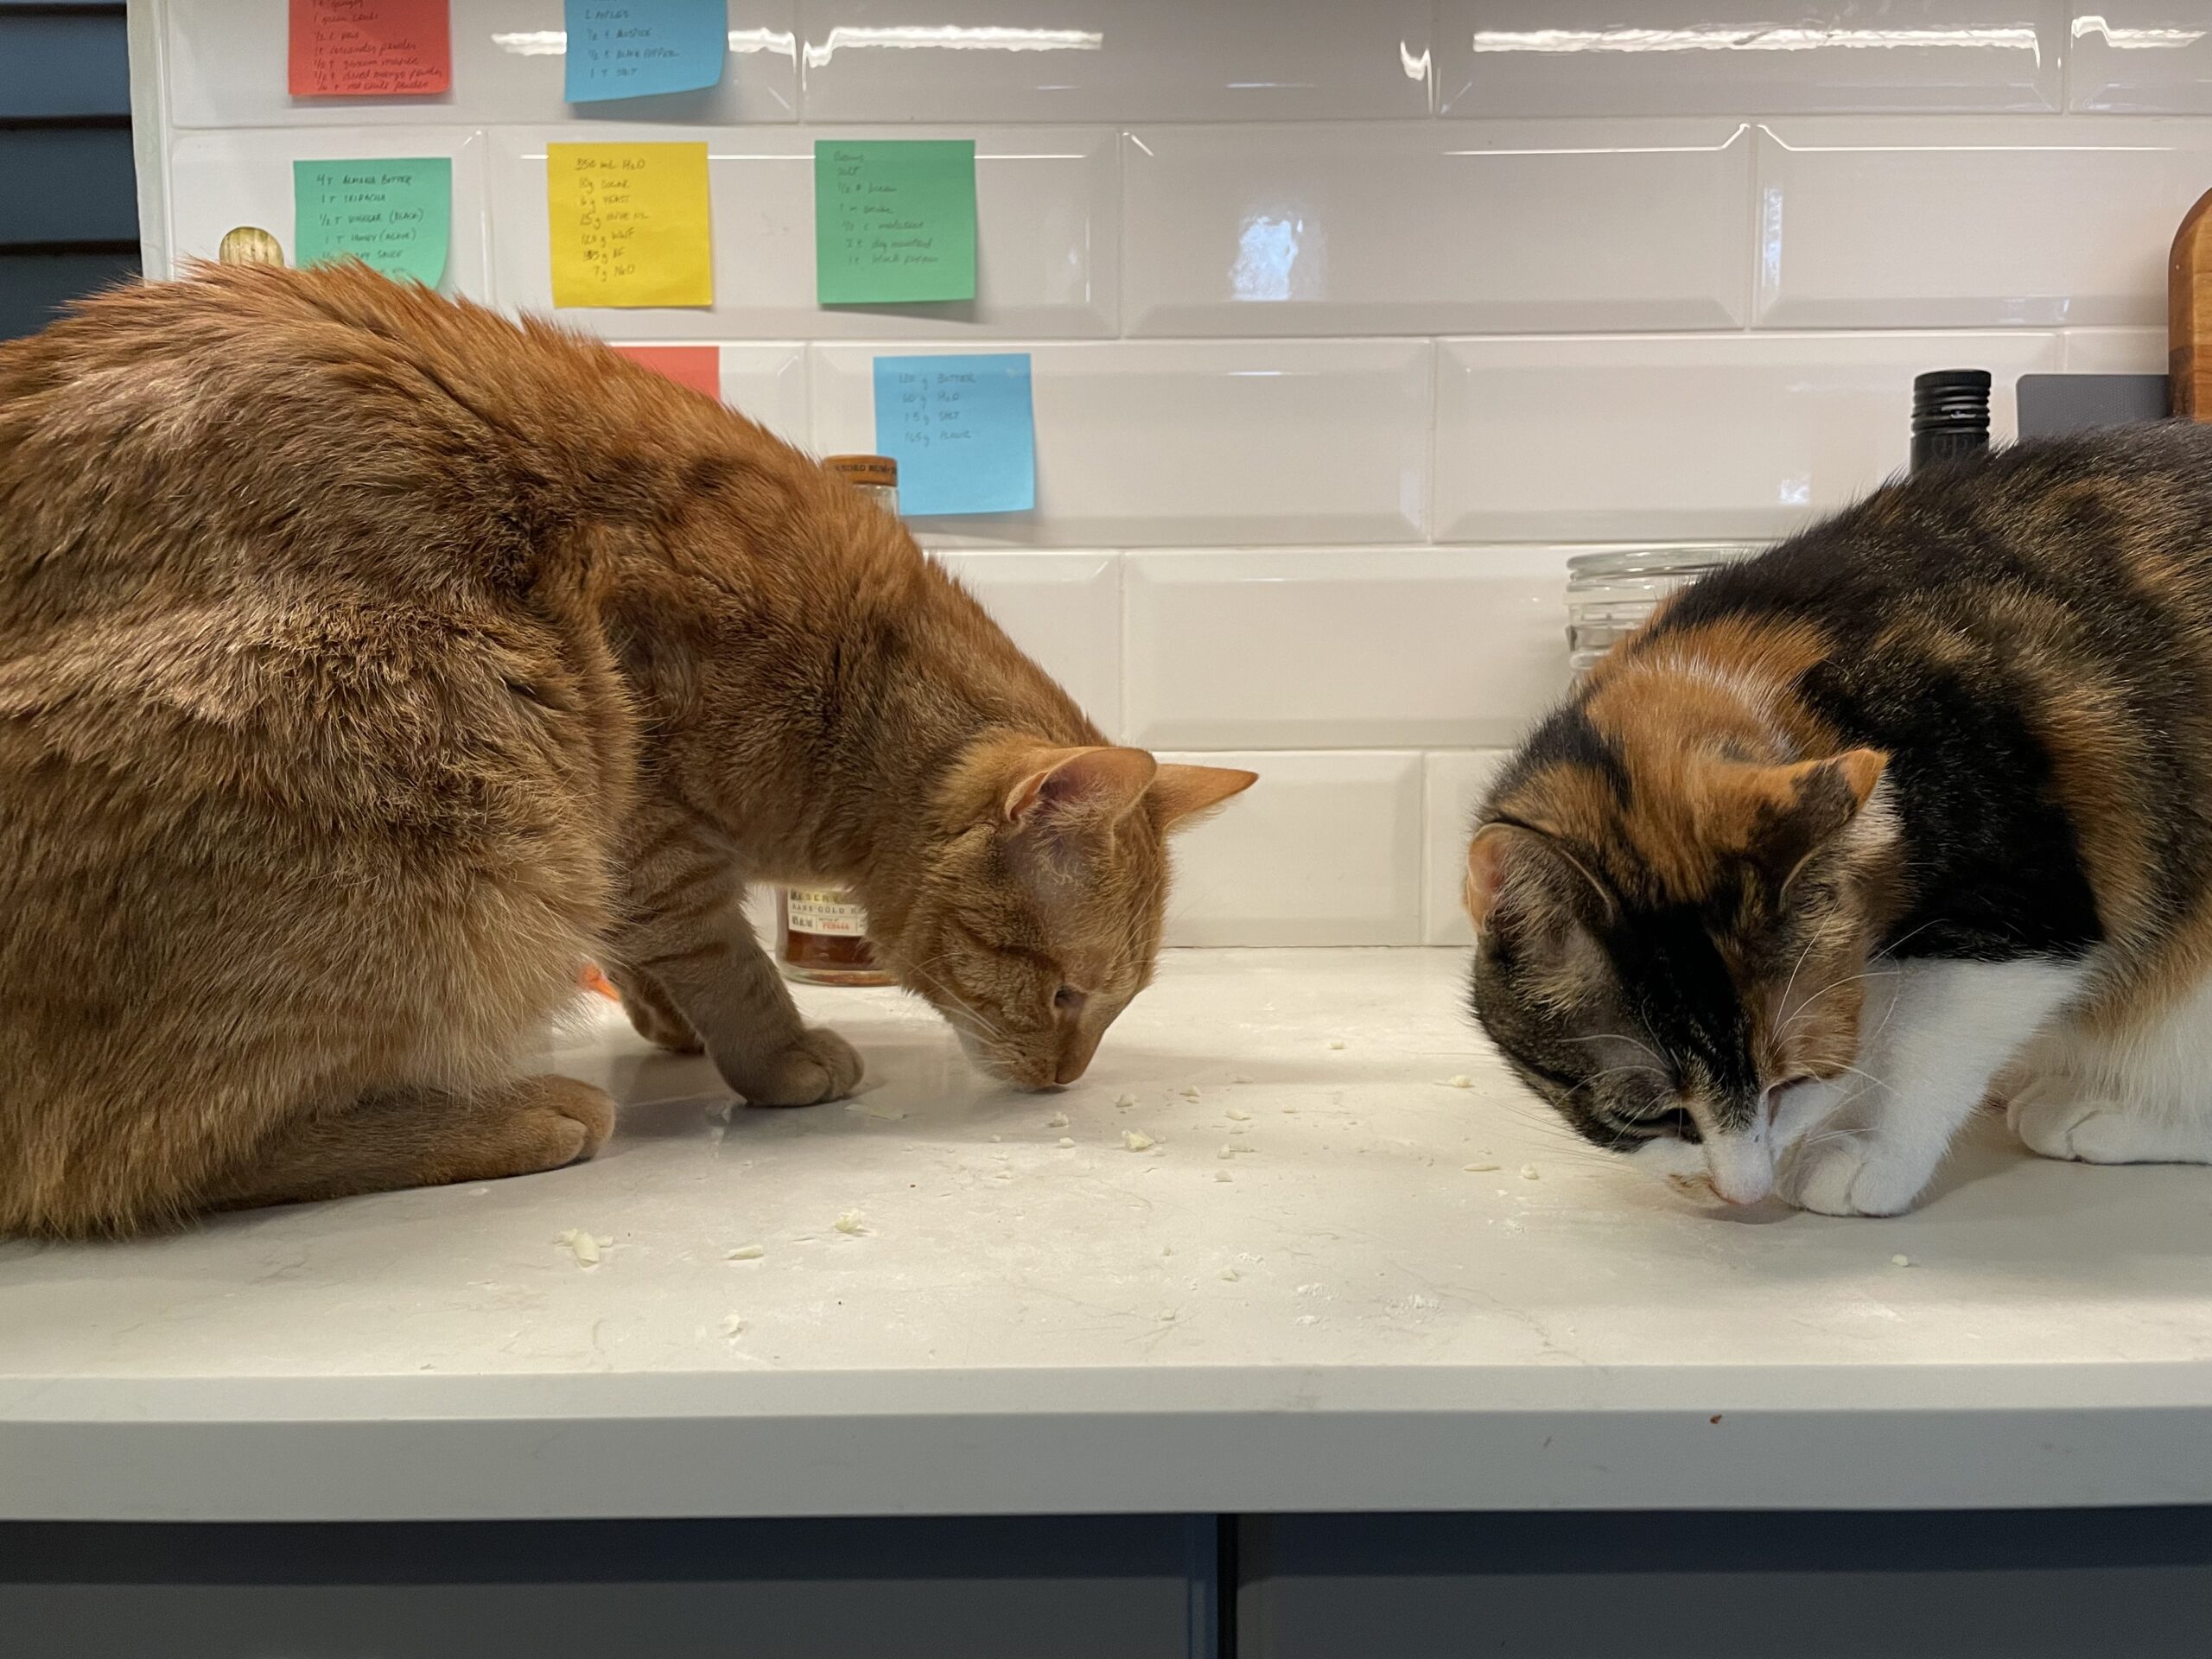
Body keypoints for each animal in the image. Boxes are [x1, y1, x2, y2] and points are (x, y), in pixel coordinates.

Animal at [0, 266, 1256, 1238]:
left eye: (1112, 1006)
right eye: (1066, 993)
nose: (1063, 1084)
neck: (854, 684)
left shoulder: (632, 850)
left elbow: (655, 948)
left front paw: (667, 1025)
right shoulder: (645, 808)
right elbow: (727, 957)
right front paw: (777, 1055)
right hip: (490, 791)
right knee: (129, 1163)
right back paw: (514, 1115)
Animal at [1468, 422, 2212, 1211]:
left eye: (1788, 1082)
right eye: (1650, 1117)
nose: (1743, 1192)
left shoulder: (2028, 888)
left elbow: (1933, 1028)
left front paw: (1868, 1149)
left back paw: (2105, 1115)